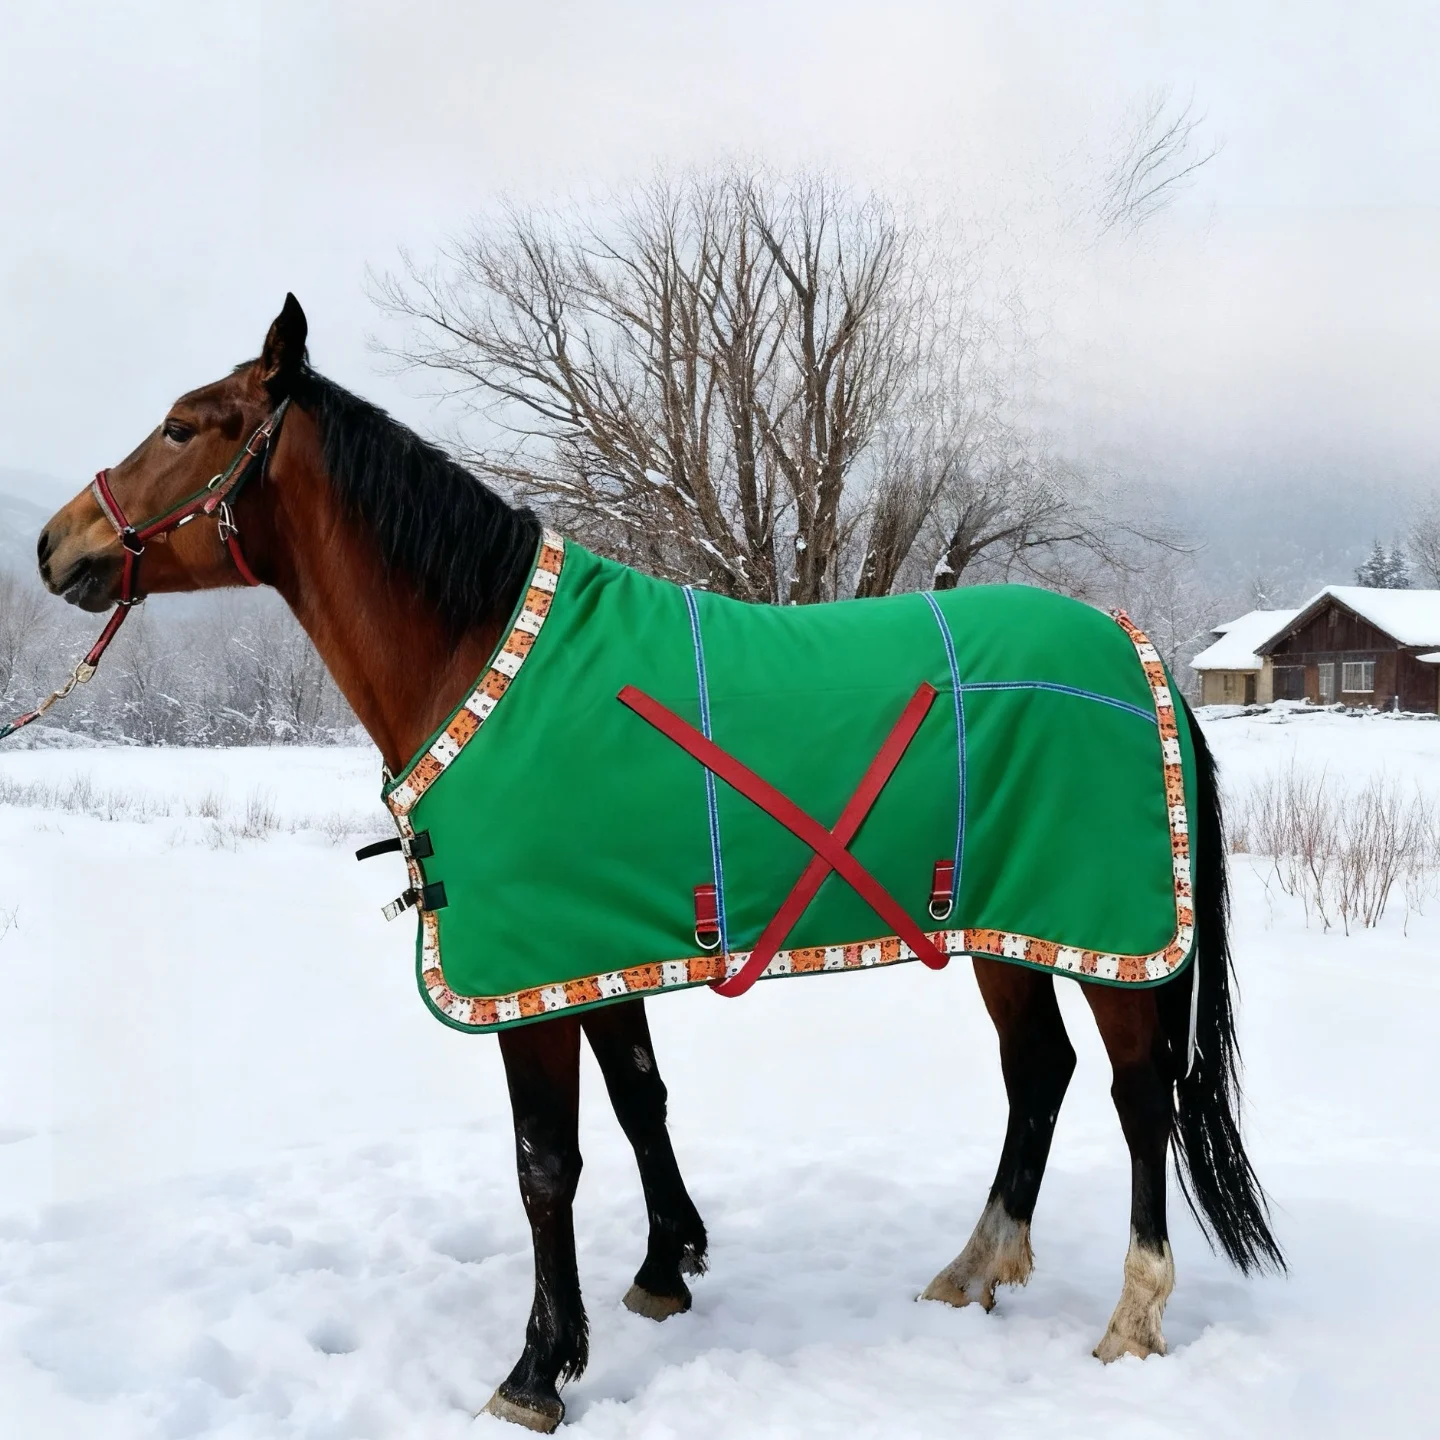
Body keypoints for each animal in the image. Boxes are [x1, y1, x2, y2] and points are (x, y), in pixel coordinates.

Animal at [36, 295, 1282, 1433]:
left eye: (183, 426)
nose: (55, 545)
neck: (480, 656)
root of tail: (1145, 659)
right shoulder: (593, 952)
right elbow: (641, 1101)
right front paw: (664, 1269)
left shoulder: (530, 977)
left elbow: (546, 1163)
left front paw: (537, 1372)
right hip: (1005, 932)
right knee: (1039, 1074)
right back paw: (975, 1268)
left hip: (1113, 940)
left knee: (1137, 1096)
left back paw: (1132, 1318)